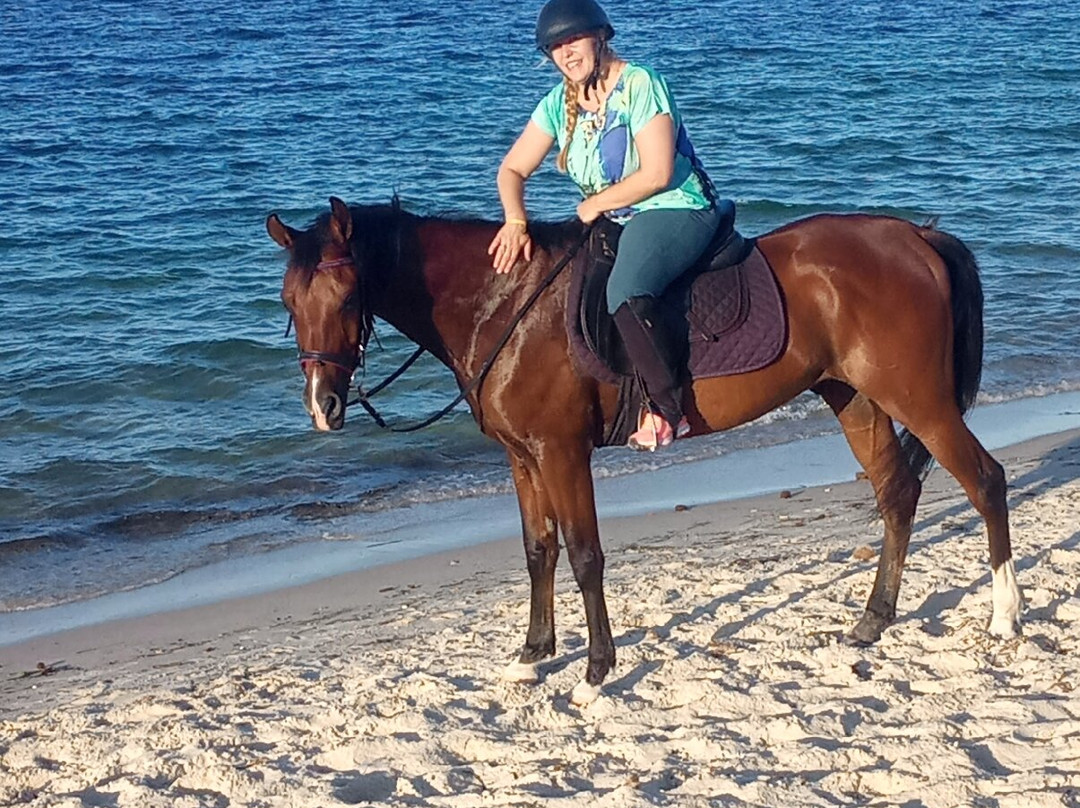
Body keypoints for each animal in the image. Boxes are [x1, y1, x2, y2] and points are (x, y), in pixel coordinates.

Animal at [267, 196, 1022, 705]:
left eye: (346, 295)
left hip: (918, 399)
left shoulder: (561, 452)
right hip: (854, 397)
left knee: (985, 480)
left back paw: (1005, 614)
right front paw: (532, 653)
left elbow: (584, 556)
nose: (322, 405)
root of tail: (915, 233)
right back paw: (872, 621)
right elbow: (537, 551)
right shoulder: (521, 457)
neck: (502, 302)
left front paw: (596, 669)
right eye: (289, 300)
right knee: (897, 492)